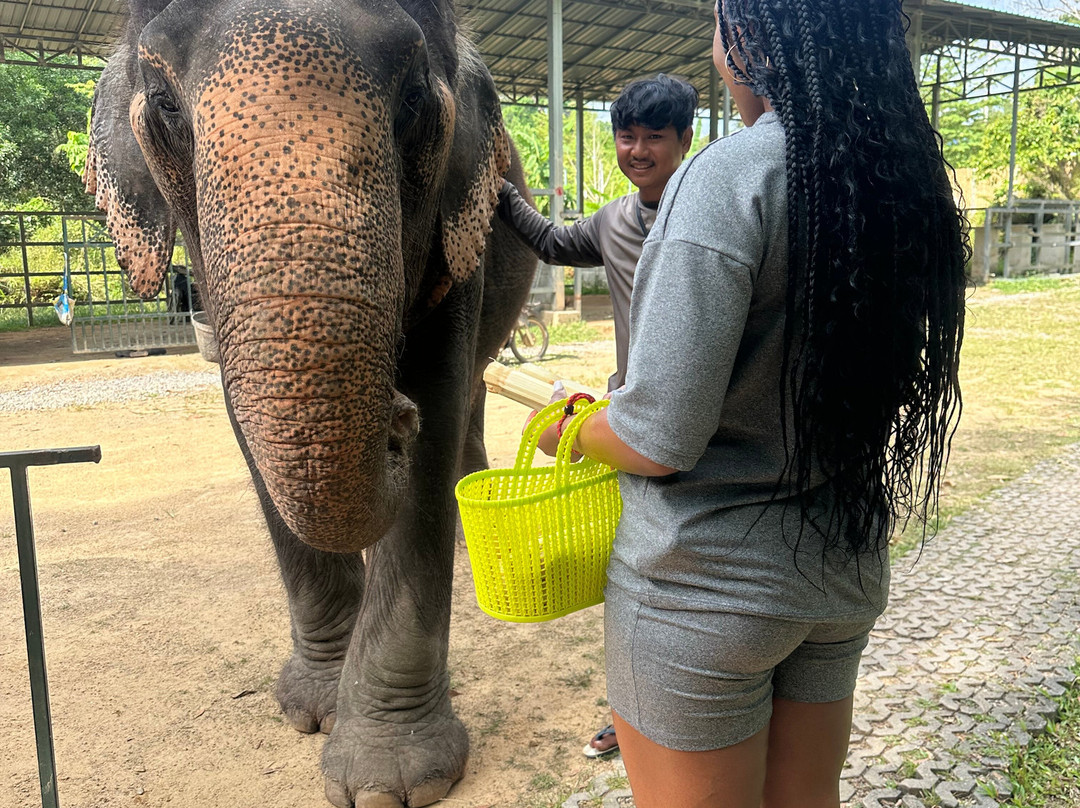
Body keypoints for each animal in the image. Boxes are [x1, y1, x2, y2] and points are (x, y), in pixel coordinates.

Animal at [85, 0, 538, 805]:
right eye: (165, 104)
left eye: (414, 99)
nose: (394, 420)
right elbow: (249, 422)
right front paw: (316, 711)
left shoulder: (461, 242)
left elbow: (440, 395)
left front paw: (390, 782)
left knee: (472, 394)